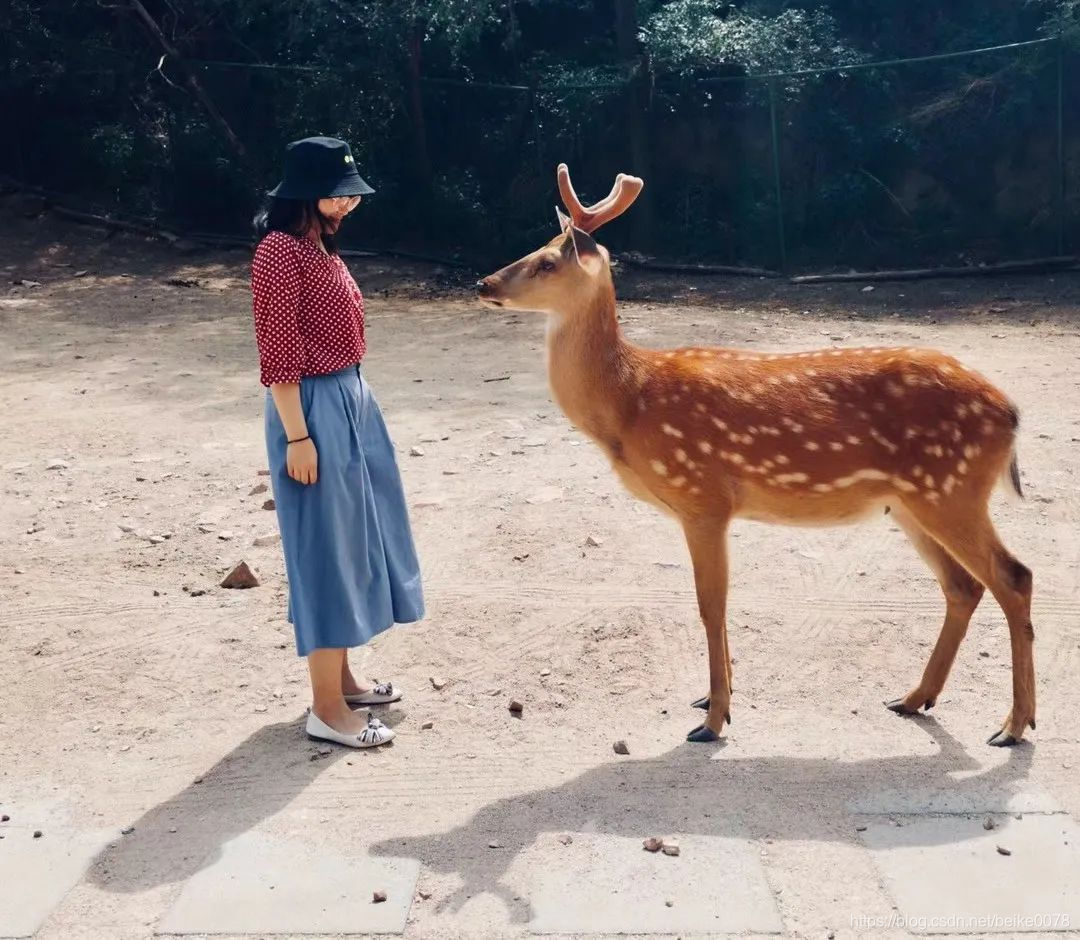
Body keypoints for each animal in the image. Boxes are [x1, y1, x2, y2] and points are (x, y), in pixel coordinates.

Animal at [477, 164, 1032, 751]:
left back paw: (1013, 725)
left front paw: (713, 720)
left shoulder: (702, 497)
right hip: (912, 502)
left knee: (1013, 576)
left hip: (952, 488)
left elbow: (710, 603)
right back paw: (913, 697)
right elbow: (717, 604)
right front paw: (711, 699)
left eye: (547, 261)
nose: (483, 284)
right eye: (534, 248)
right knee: (963, 586)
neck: (630, 404)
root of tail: (1010, 412)